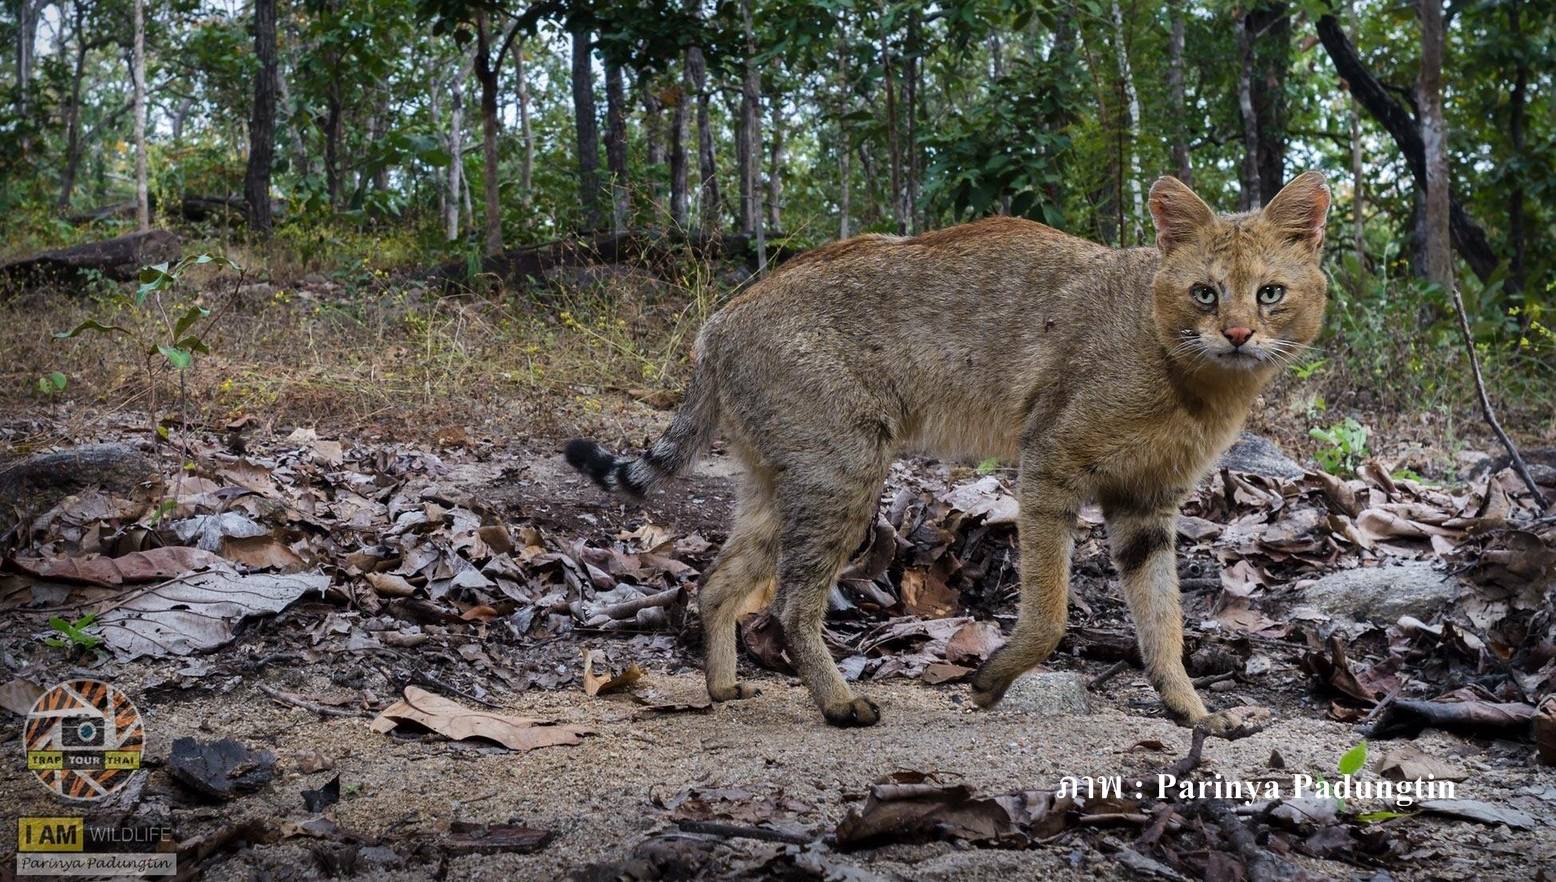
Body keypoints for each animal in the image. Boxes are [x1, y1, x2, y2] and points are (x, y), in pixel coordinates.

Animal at [566, 171, 1331, 731]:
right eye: (1204, 294)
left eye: (1269, 294)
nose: (1237, 333)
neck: (1190, 381)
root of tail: (719, 320)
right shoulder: (1048, 466)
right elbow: (1050, 614)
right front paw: (991, 682)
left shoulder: (1148, 507)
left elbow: (1163, 624)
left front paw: (1191, 711)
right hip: (843, 476)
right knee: (790, 604)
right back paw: (839, 702)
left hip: (783, 485)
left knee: (718, 583)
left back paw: (724, 687)